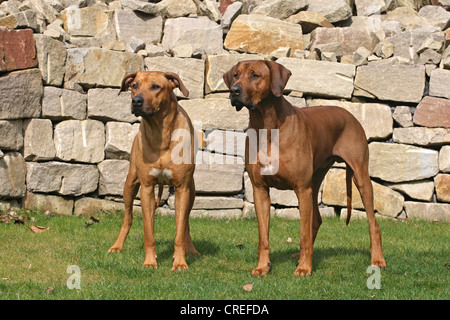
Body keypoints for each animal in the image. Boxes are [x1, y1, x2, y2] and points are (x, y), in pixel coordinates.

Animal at [107, 70, 199, 270]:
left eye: (156, 87)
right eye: (134, 86)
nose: (136, 101)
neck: (160, 132)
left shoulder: (182, 188)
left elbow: (180, 231)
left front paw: (180, 262)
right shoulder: (147, 187)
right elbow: (148, 232)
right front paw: (150, 261)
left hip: (192, 191)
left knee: (186, 222)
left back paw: (191, 249)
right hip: (130, 184)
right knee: (129, 218)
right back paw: (117, 246)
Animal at [223, 61, 384, 276]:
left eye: (255, 75)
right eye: (235, 75)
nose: (234, 90)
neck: (267, 126)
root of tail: (349, 113)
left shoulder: (301, 189)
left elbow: (303, 234)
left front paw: (304, 268)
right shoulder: (260, 190)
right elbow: (263, 237)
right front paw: (262, 267)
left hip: (359, 176)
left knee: (373, 224)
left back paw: (377, 259)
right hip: (315, 182)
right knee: (316, 220)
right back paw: (299, 257)